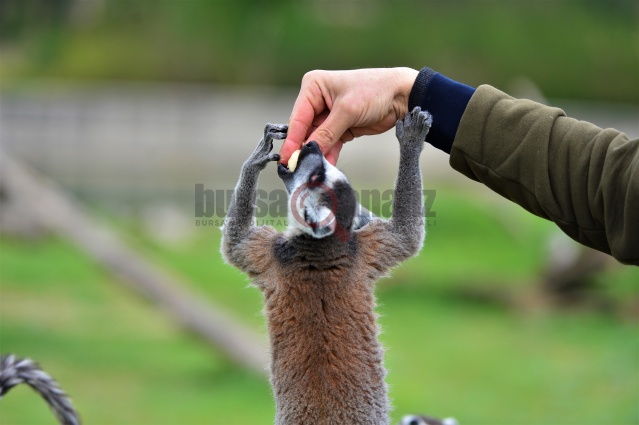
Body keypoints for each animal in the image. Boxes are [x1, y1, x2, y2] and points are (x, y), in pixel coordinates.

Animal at [221, 107, 432, 425]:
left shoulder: (277, 255)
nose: (312, 145)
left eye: (317, 174)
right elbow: (405, 235)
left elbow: (235, 242)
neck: (321, 246)